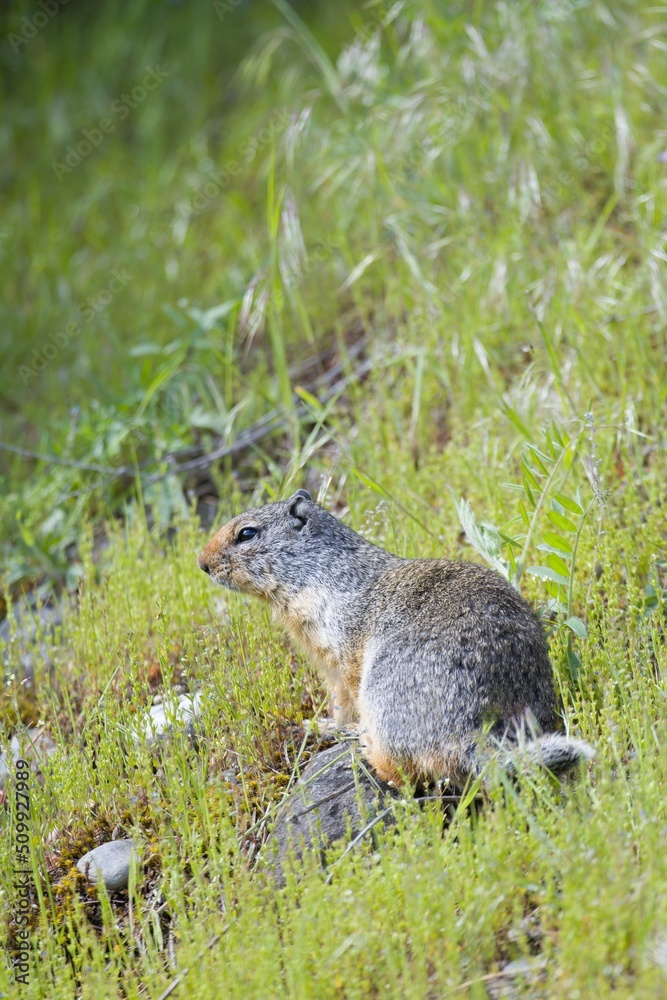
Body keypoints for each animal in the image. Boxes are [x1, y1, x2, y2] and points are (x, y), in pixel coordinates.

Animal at [198, 490, 594, 785]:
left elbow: (344, 698)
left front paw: (326, 725)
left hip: (383, 693)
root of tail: (472, 731)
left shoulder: (340, 652)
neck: (319, 572)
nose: (202, 562)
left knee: (401, 769)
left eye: (247, 533)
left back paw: (364, 745)